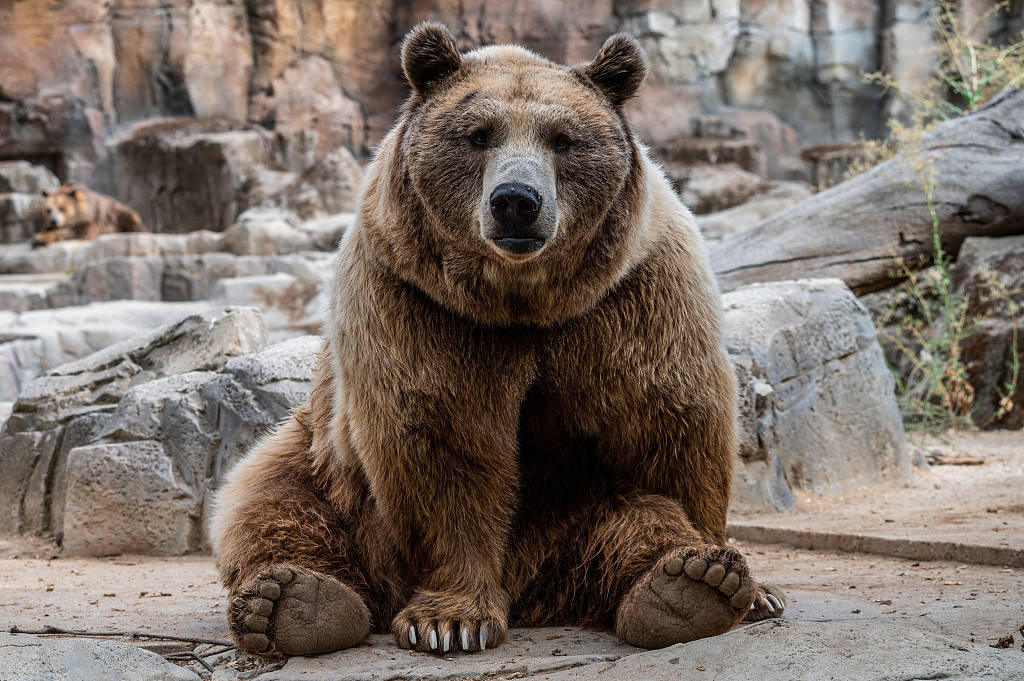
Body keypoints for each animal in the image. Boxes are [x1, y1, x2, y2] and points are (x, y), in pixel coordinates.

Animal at [207, 23, 782, 655]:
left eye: (562, 139)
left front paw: (733, 574)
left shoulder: (631, 293)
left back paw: (691, 584)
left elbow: (667, 424)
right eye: (479, 135)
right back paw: (293, 601)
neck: (522, 301)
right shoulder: (422, 303)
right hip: (319, 460)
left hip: (566, 514)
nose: (515, 200)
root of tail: (533, 591)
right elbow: (443, 439)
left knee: (630, 519)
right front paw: (451, 621)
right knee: (268, 502)